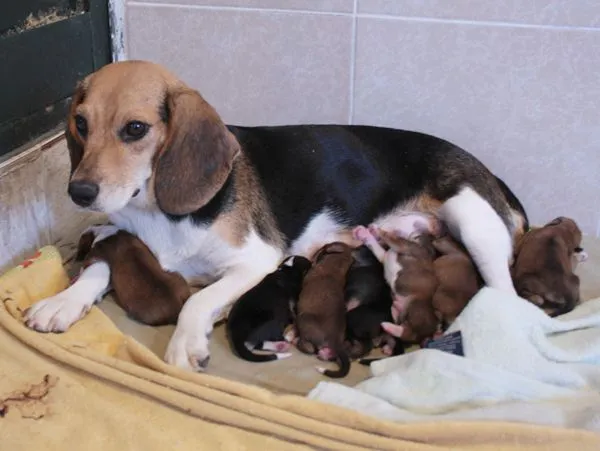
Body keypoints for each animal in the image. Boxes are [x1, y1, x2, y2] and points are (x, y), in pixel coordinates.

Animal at [294, 242, 354, 380]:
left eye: (325, 246)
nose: (313, 257)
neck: (338, 263)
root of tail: (335, 341)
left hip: (303, 319)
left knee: (309, 348)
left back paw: (297, 343)